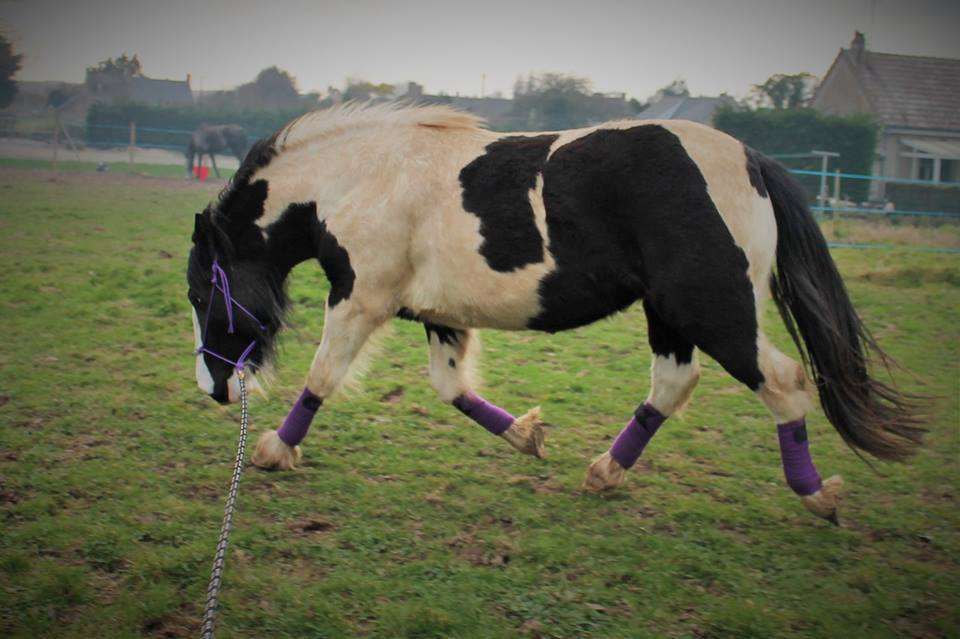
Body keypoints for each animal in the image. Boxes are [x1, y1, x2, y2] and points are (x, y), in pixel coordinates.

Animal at [186, 104, 923, 524]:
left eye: (200, 293)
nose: (214, 387)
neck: (363, 180)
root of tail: (752, 160)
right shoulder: (438, 313)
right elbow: (452, 389)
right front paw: (529, 435)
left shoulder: (361, 297)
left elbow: (321, 377)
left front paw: (275, 449)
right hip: (671, 312)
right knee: (672, 384)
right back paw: (604, 472)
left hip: (713, 309)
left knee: (784, 382)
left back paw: (818, 495)